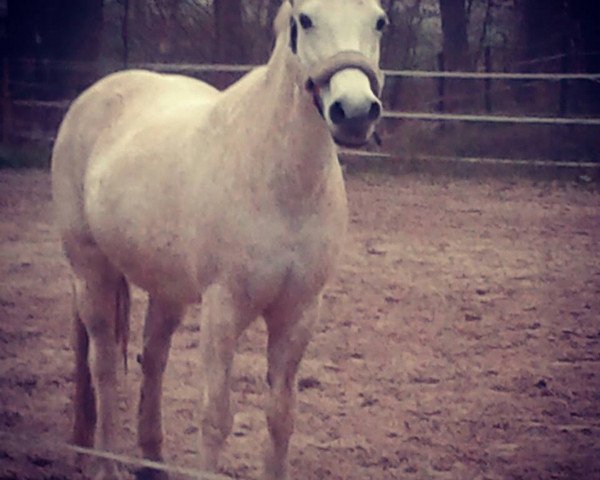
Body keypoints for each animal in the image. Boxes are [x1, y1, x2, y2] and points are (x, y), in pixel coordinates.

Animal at [52, 1, 384, 478]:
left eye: (380, 21)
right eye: (304, 19)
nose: (354, 111)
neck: (277, 178)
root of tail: (93, 96)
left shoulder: (298, 313)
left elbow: (281, 416)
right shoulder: (223, 308)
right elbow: (215, 416)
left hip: (166, 290)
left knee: (153, 360)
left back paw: (151, 461)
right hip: (91, 270)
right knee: (104, 366)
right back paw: (105, 463)